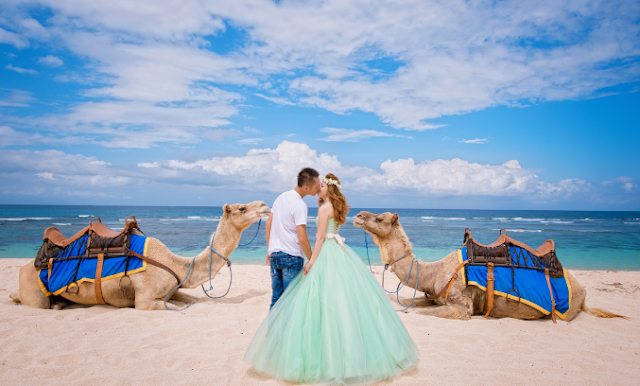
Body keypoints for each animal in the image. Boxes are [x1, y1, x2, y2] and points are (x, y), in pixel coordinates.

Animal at [10, 202, 270, 310]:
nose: (266, 205)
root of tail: (25, 266)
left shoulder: (173, 290)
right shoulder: (145, 300)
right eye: (241, 208)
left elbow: (191, 300)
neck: (174, 263)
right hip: (34, 290)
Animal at [350, 211, 624, 322]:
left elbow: (416, 312)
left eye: (380, 219)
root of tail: (584, 292)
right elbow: (412, 303)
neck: (433, 272)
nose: (358, 215)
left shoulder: (462, 306)